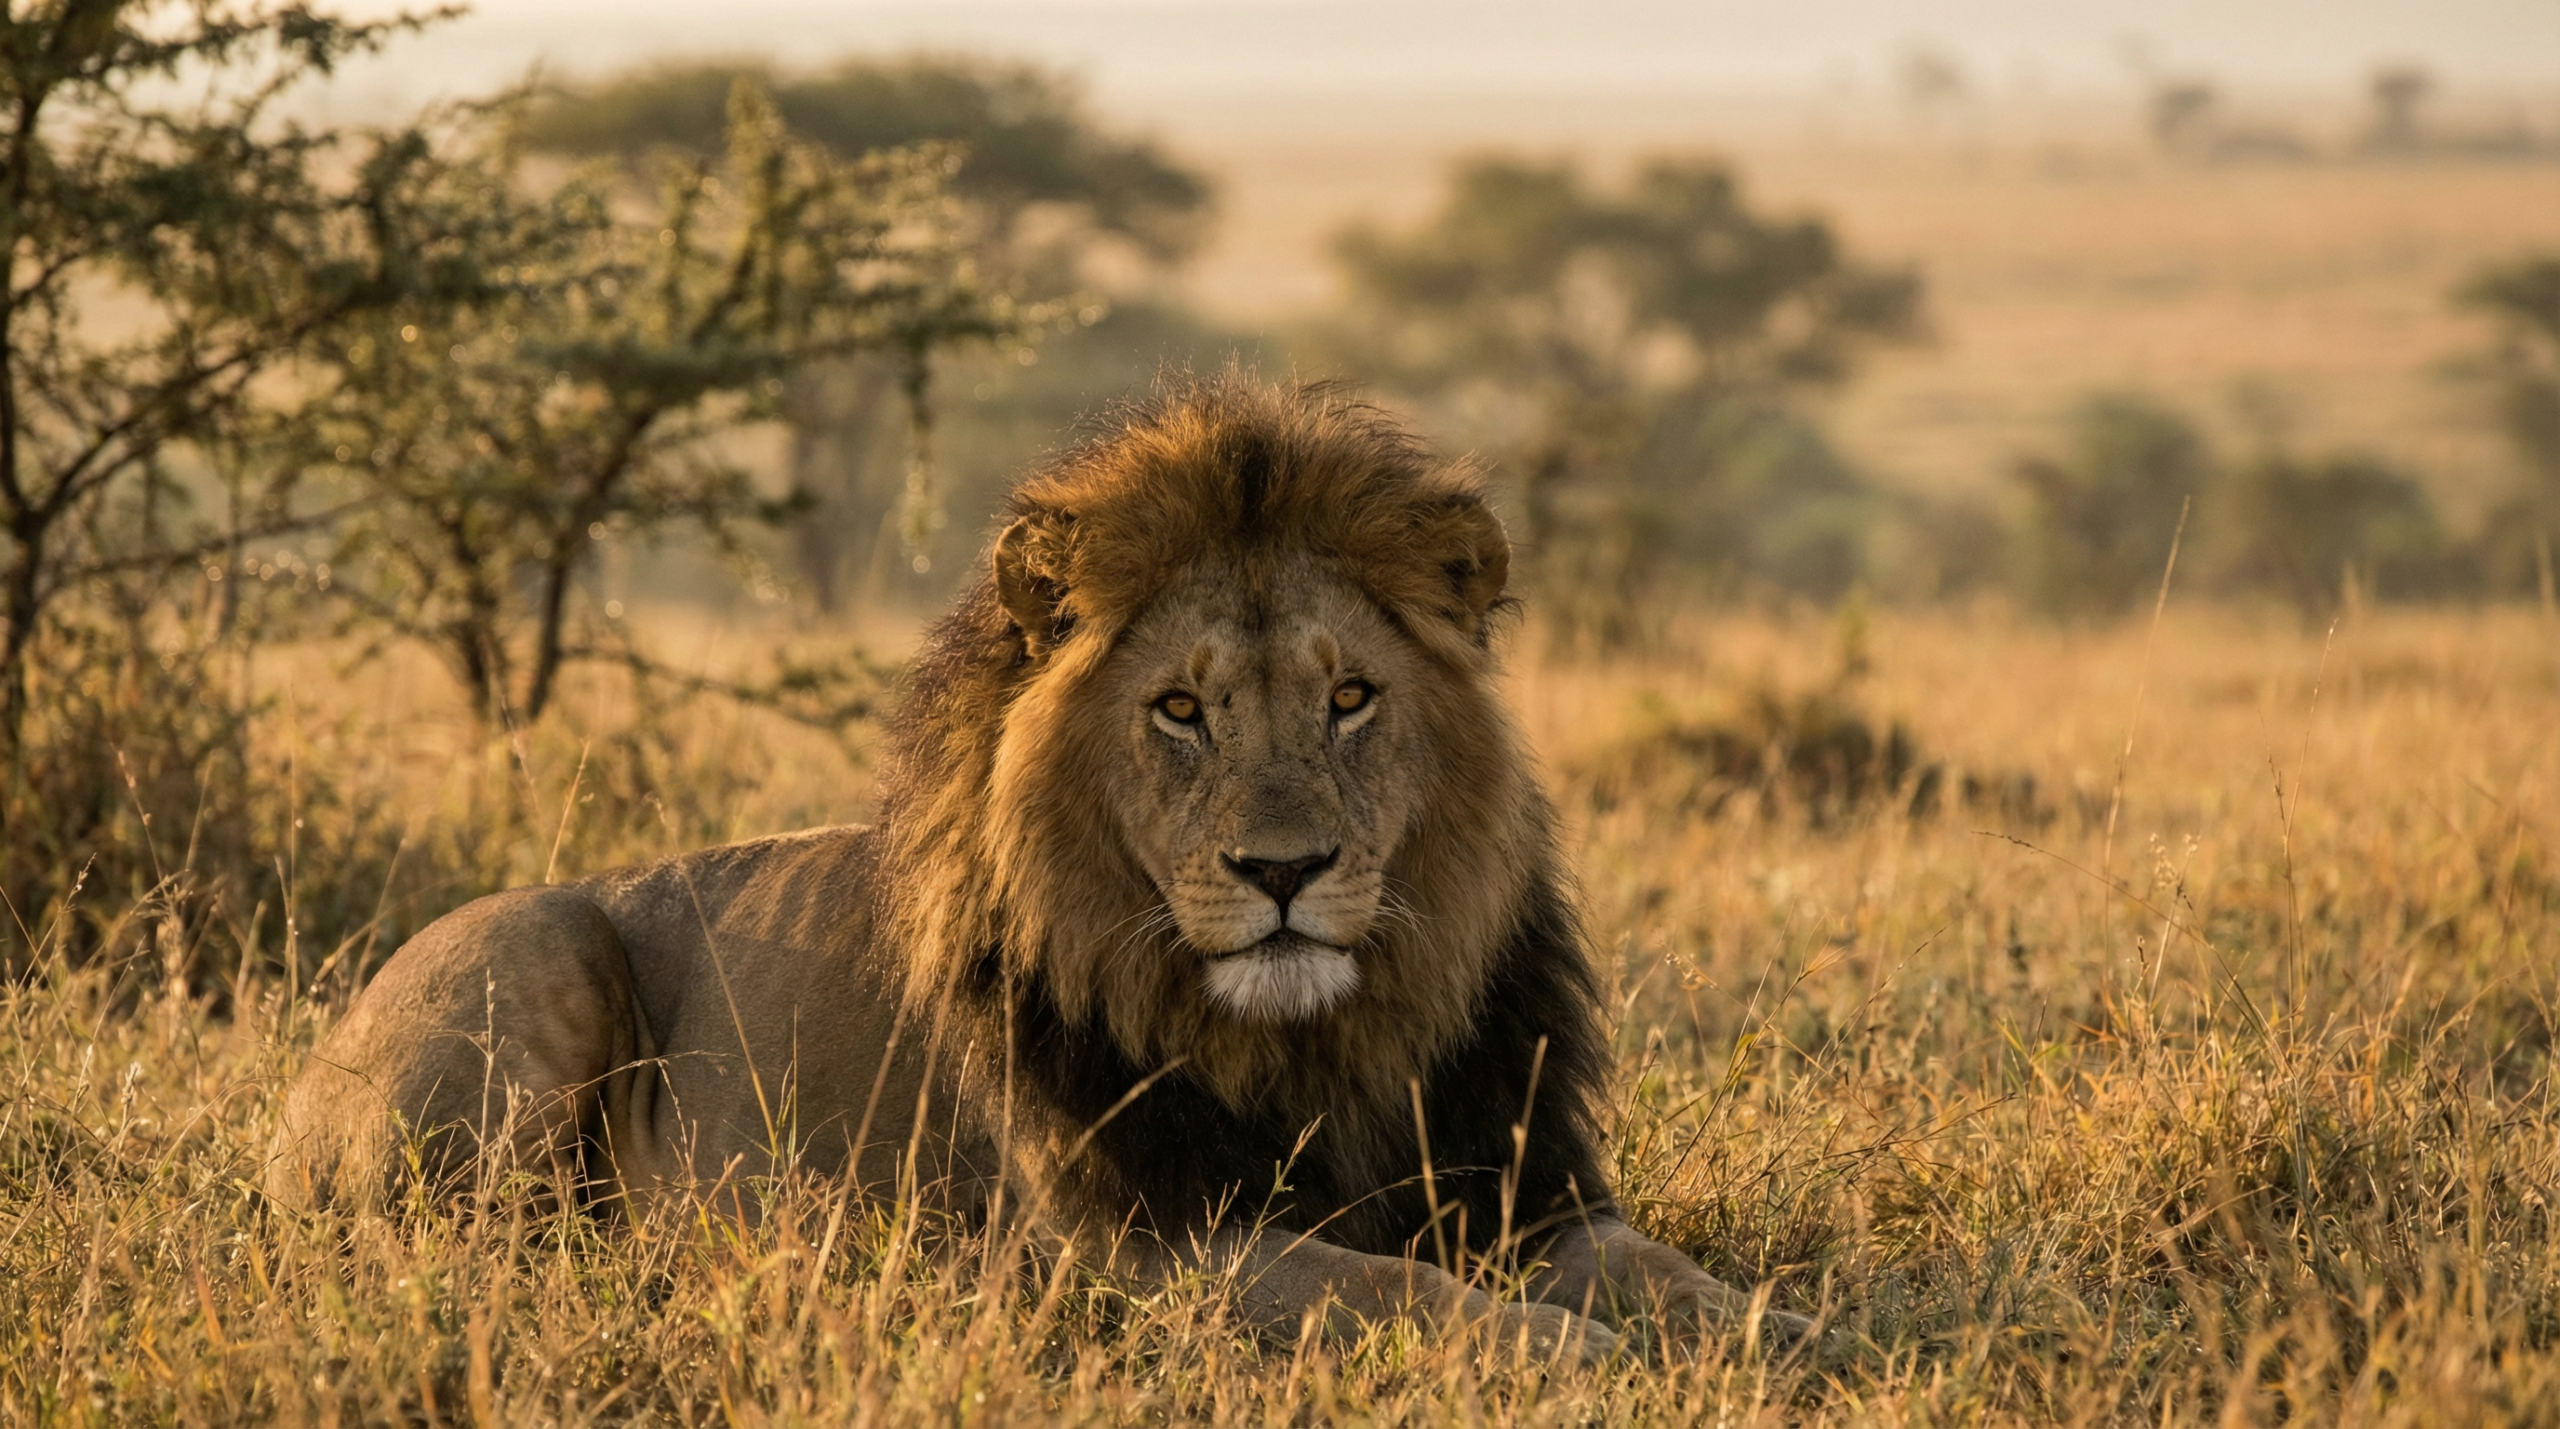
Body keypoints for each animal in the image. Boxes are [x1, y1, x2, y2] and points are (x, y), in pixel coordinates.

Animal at [267, 376, 1804, 1364]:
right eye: (1179, 711)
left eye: (1351, 698)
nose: (1286, 869)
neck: (1321, 1041)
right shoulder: (1151, 1248)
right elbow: (1397, 1293)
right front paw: (1569, 1355)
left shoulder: (1533, 1192)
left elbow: (1670, 1275)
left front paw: (1786, 1333)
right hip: (542, 947)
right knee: (466, 1253)